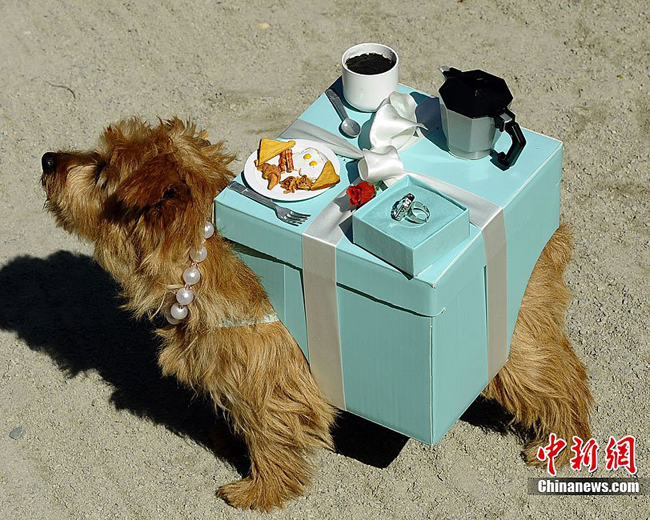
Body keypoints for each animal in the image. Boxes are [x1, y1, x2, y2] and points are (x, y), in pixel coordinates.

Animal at [39, 117, 588, 508]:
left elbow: (271, 441)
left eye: (102, 171)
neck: (197, 261)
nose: (46, 157)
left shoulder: (271, 388)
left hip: (514, 348)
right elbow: (239, 420)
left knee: (561, 378)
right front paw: (228, 441)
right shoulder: (236, 379)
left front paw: (258, 493)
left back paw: (561, 443)